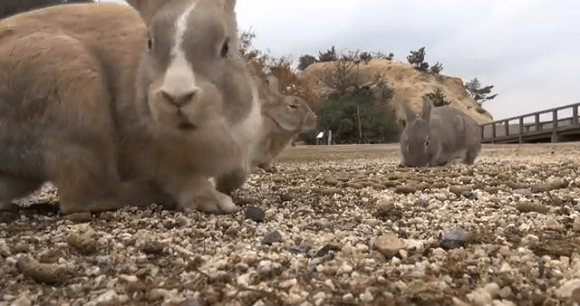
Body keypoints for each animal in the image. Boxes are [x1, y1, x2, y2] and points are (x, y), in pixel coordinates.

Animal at [0, 0, 262, 214]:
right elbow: (182, 179)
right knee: (84, 195)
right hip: (77, 105)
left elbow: (239, 172)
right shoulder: (149, 158)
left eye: (226, 48)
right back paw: (153, 194)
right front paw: (216, 201)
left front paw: (227, 185)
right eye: (150, 43)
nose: (177, 96)